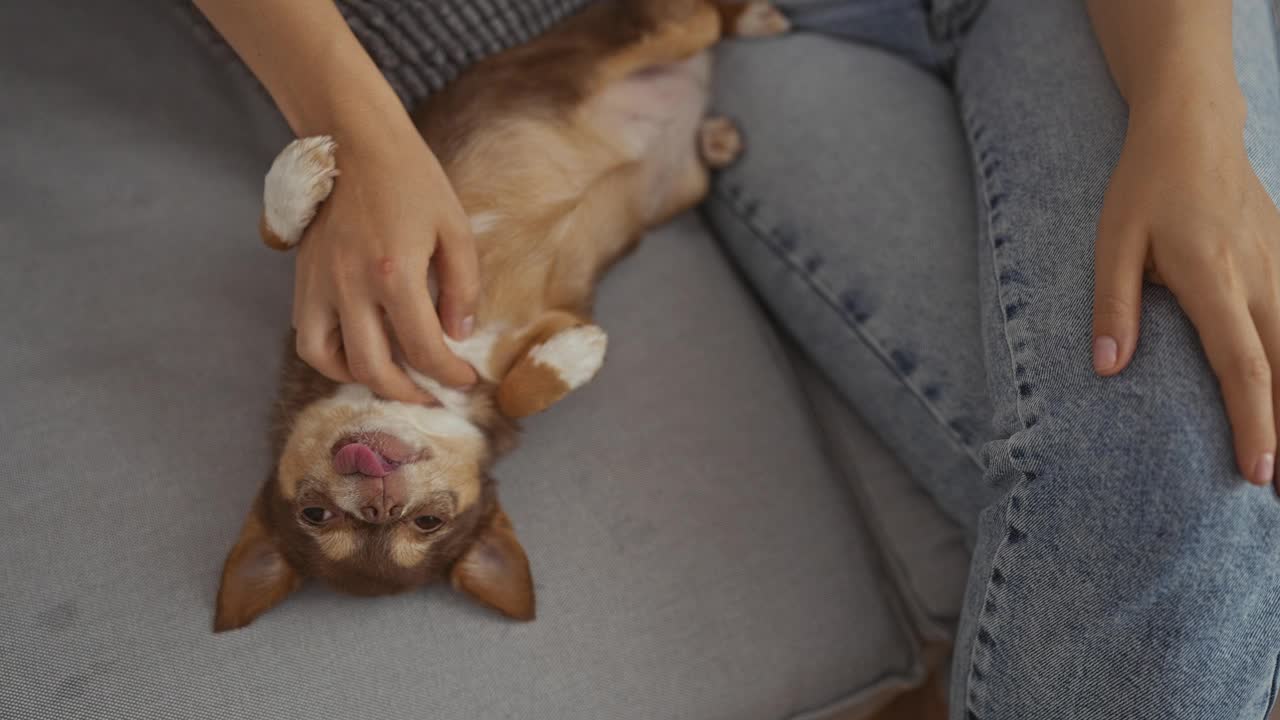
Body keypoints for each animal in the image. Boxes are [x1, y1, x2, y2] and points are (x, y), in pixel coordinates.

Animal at [215, 0, 783, 627]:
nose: (378, 504)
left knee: (700, 20)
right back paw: (716, 135)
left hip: (615, 48)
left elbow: (276, 235)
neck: (422, 389)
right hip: (681, 181)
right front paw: (576, 356)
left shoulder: (330, 286)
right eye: (316, 515)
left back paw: (751, 26)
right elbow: (519, 389)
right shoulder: (552, 317)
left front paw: (295, 179)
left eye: (426, 522)